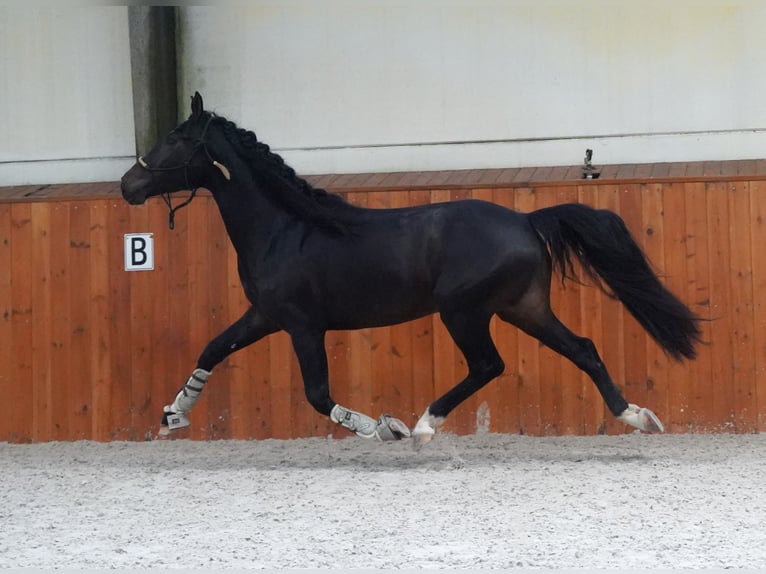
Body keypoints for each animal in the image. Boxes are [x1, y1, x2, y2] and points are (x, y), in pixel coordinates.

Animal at [120, 93, 704, 446]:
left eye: (175, 139)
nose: (128, 185)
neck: (286, 227)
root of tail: (525, 219)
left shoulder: (302, 325)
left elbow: (318, 395)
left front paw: (386, 429)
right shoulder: (265, 316)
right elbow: (212, 350)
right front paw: (173, 415)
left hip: (464, 310)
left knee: (489, 365)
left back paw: (424, 424)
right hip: (523, 307)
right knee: (582, 348)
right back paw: (635, 415)